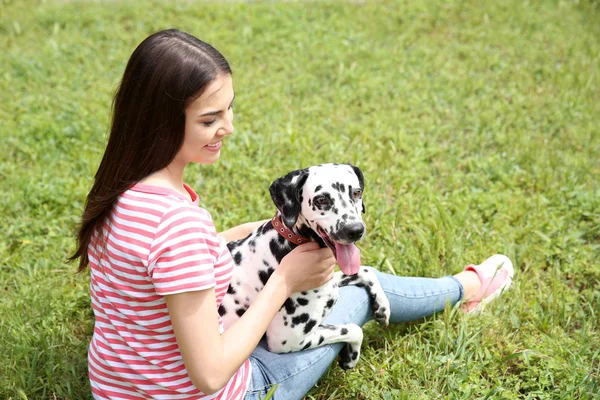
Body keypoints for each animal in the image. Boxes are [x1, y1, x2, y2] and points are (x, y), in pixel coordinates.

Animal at [219, 162, 390, 368]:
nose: (355, 230)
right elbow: (354, 329)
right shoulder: (289, 339)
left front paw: (383, 306)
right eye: (321, 199)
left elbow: (366, 270)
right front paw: (351, 357)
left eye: (356, 193)